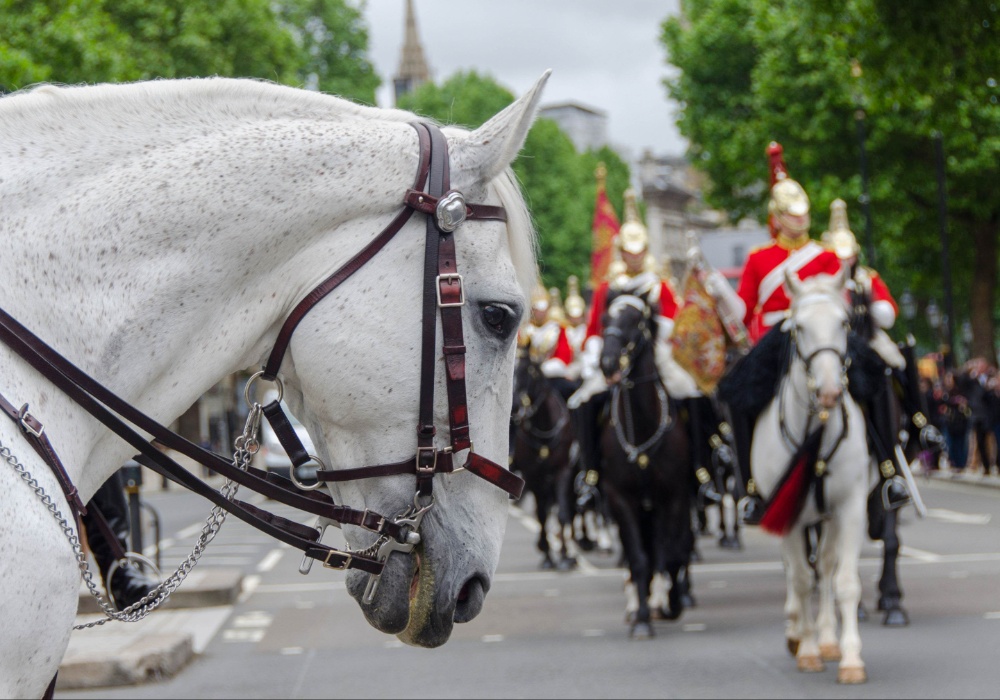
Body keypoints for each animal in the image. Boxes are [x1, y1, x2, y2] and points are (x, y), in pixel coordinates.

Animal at [512, 348, 584, 572]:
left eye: (529, 371)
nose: (514, 407)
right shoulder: (533, 475)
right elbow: (542, 514)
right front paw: (547, 555)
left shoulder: (563, 471)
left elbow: (561, 513)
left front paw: (564, 556)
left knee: (570, 509)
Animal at [596, 292, 692, 640]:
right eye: (605, 320)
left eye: (635, 321)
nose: (608, 363)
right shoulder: (621, 499)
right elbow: (638, 558)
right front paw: (640, 618)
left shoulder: (672, 498)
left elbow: (668, 554)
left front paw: (666, 602)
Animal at [752, 268, 868, 684]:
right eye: (798, 327)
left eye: (844, 323)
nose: (831, 391)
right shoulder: (786, 511)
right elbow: (801, 579)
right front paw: (807, 650)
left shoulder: (850, 508)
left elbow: (845, 581)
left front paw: (849, 658)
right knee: (795, 573)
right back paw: (797, 632)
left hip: (827, 516)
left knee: (828, 566)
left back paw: (828, 638)